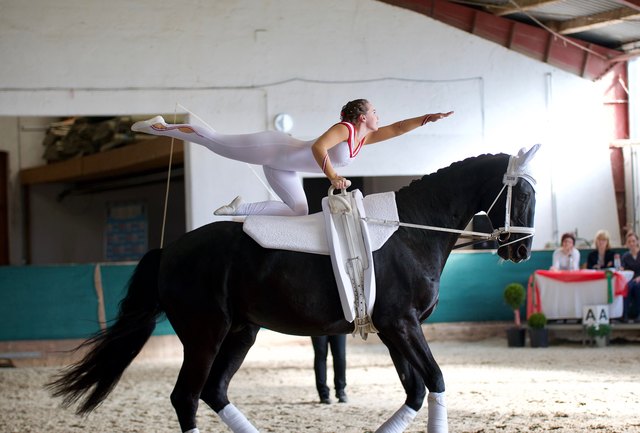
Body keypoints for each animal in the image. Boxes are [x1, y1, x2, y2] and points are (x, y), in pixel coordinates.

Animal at [48, 146, 538, 433]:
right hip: (205, 335)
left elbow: (415, 391)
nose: (522, 250)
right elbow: (434, 381)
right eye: (525, 195)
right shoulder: (402, 325)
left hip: (241, 332)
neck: (411, 229)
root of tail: (169, 249)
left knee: (214, 392)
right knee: (186, 397)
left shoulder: (396, 329)